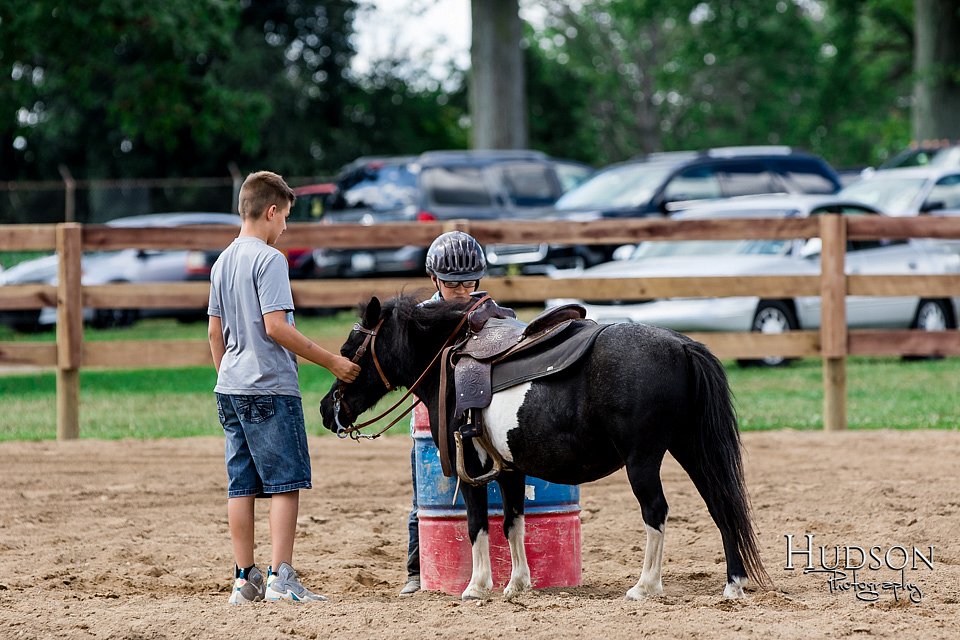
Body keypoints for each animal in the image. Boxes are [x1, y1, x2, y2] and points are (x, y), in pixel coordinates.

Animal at [318, 296, 768, 600]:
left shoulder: (473, 466)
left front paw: (476, 586)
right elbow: (513, 522)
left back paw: (645, 586)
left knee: (656, 512)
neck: (448, 360)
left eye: (347, 352)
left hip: (643, 461)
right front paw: (517, 584)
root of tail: (681, 345)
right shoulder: (509, 468)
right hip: (692, 449)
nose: (326, 408)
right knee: (721, 505)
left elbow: (476, 524)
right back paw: (733, 583)